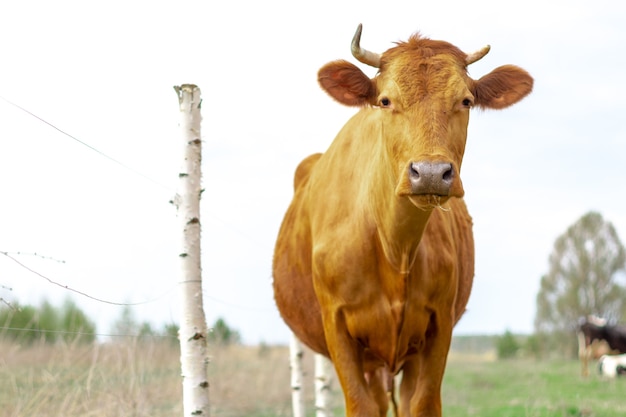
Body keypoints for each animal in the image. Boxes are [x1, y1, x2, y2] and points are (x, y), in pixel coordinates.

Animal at [272, 26, 532, 416]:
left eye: (466, 101)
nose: (430, 172)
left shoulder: (438, 325)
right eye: (385, 101)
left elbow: (422, 403)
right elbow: (361, 405)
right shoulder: (336, 327)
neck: (394, 248)